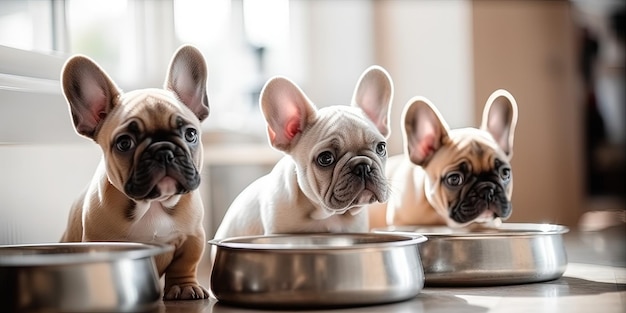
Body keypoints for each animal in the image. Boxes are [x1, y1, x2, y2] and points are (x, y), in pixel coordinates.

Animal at [59, 45, 210, 298]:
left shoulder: (193, 237)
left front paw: (183, 286)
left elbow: (185, 263)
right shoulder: (100, 243)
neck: (153, 204)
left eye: (190, 134)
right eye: (124, 143)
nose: (163, 151)